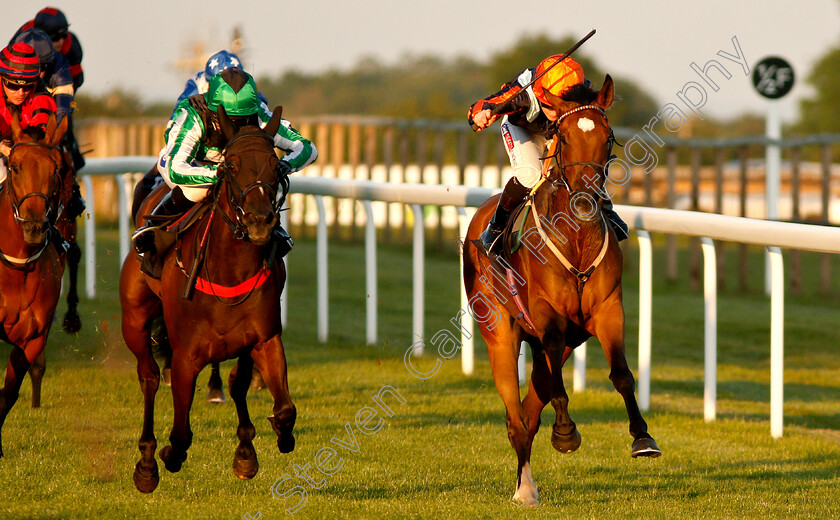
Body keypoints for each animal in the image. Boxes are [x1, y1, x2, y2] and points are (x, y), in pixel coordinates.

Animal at [120, 104, 296, 492]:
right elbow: (181, 434)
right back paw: (146, 462)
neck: (228, 270)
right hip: (134, 320)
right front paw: (166, 456)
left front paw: (257, 448)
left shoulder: (264, 339)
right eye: (231, 165)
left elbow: (282, 409)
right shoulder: (186, 355)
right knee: (149, 377)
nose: (260, 221)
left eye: (276, 165)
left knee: (236, 384)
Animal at [462, 75, 660, 506]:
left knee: (529, 408)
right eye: (564, 137)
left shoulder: (608, 310)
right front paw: (566, 433)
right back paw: (525, 488)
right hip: (500, 332)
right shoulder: (546, 314)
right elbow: (557, 387)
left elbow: (622, 374)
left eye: (608, 137)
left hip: (566, 340)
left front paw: (642, 438)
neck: (576, 238)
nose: (587, 199)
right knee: (517, 414)